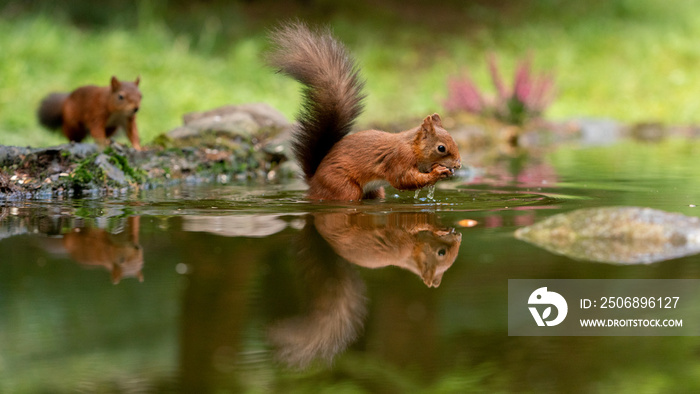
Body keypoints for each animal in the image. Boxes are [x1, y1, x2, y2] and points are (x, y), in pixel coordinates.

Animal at [268, 22, 460, 200]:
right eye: (441, 148)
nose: (458, 165)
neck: (412, 147)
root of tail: (313, 182)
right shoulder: (398, 160)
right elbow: (403, 180)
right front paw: (438, 173)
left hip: (375, 191)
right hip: (343, 186)